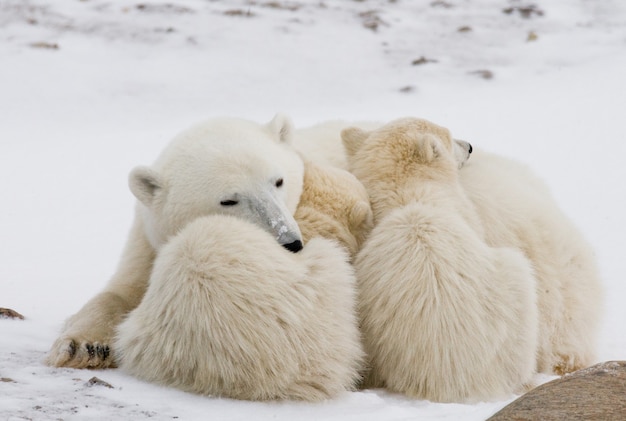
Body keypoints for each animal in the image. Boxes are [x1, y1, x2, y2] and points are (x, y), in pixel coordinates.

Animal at [45, 114, 304, 368]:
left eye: (279, 181)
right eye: (228, 201)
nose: (290, 243)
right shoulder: (149, 240)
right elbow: (121, 290)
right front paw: (84, 347)